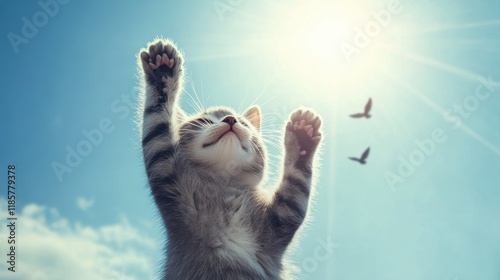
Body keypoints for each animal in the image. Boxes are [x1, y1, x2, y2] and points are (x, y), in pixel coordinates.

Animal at [139, 38, 322, 280]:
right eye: (205, 121)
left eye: (243, 123)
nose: (230, 119)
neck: (225, 184)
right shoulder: (166, 173)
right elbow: (156, 123)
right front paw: (161, 73)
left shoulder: (282, 219)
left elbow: (298, 183)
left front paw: (302, 139)